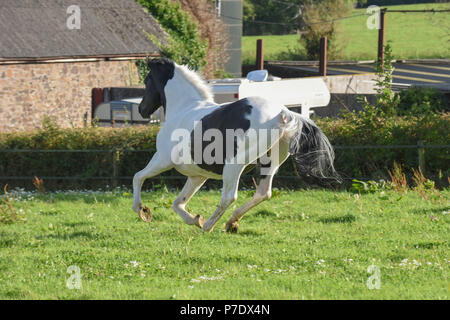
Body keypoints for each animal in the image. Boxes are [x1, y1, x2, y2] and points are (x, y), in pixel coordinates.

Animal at [132, 57, 340, 232]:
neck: (184, 108)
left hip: (234, 165)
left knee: (229, 196)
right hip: (270, 161)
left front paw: (142, 211)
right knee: (263, 193)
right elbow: (178, 203)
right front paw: (194, 219)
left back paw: (208, 226)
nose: (142, 109)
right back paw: (231, 222)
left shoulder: (162, 159)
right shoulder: (197, 175)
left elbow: (138, 177)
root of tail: (282, 113)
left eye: (147, 80)